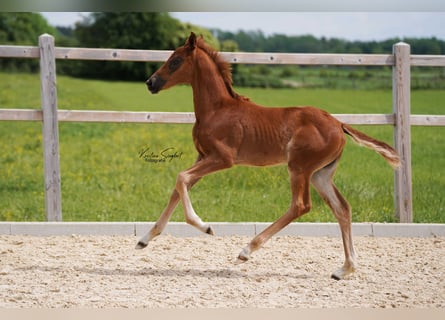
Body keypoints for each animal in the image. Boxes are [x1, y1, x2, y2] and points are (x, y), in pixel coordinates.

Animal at [136, 31, 398, 278]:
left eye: (175, 61)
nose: (150, 82)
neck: (217, 110)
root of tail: (339, 124)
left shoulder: (223, 159)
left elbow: (181, 178)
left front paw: (205, 226)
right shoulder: (203, 157)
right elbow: (178, 188)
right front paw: (145, 239)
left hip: (299, 168)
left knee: (301, 205)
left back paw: (246, 250)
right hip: (320, 174)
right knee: (342, 208)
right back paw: (345, 269)